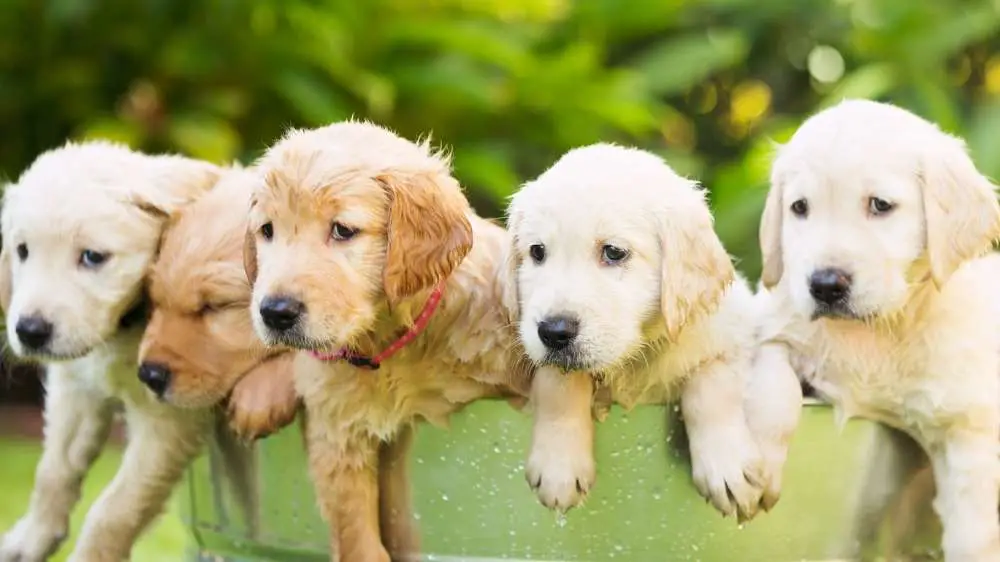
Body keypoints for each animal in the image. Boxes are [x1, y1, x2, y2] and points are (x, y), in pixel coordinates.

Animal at [0, 141, 220, 560]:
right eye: (22, 251)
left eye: (92, 257)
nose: (30, 331)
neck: (126, 328)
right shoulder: (78, 386)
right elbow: (53, 470)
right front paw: (31, 538)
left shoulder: (169, 421)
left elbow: (114, 510)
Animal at [243, 120, 532, 556]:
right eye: (267, 230)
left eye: (343, 230)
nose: (275, 312)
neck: (392, 342)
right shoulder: (338, 436)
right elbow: (358, 539)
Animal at [508, 142, 796, 520]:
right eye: (537, 252)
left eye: (614, 252)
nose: (554, 332)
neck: (636, 352)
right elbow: (558, 381)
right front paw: (559, 465)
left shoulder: (732, 337)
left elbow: (711, 383)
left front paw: (727, 467)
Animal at [756, 97, 1000, 560]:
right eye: (800, 208)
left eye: (880, 205)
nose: (825, 285)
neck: (881, 327)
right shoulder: (775, 322)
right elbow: (767, 368)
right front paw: (748, 464)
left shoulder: (972, 434)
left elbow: (972, 532)